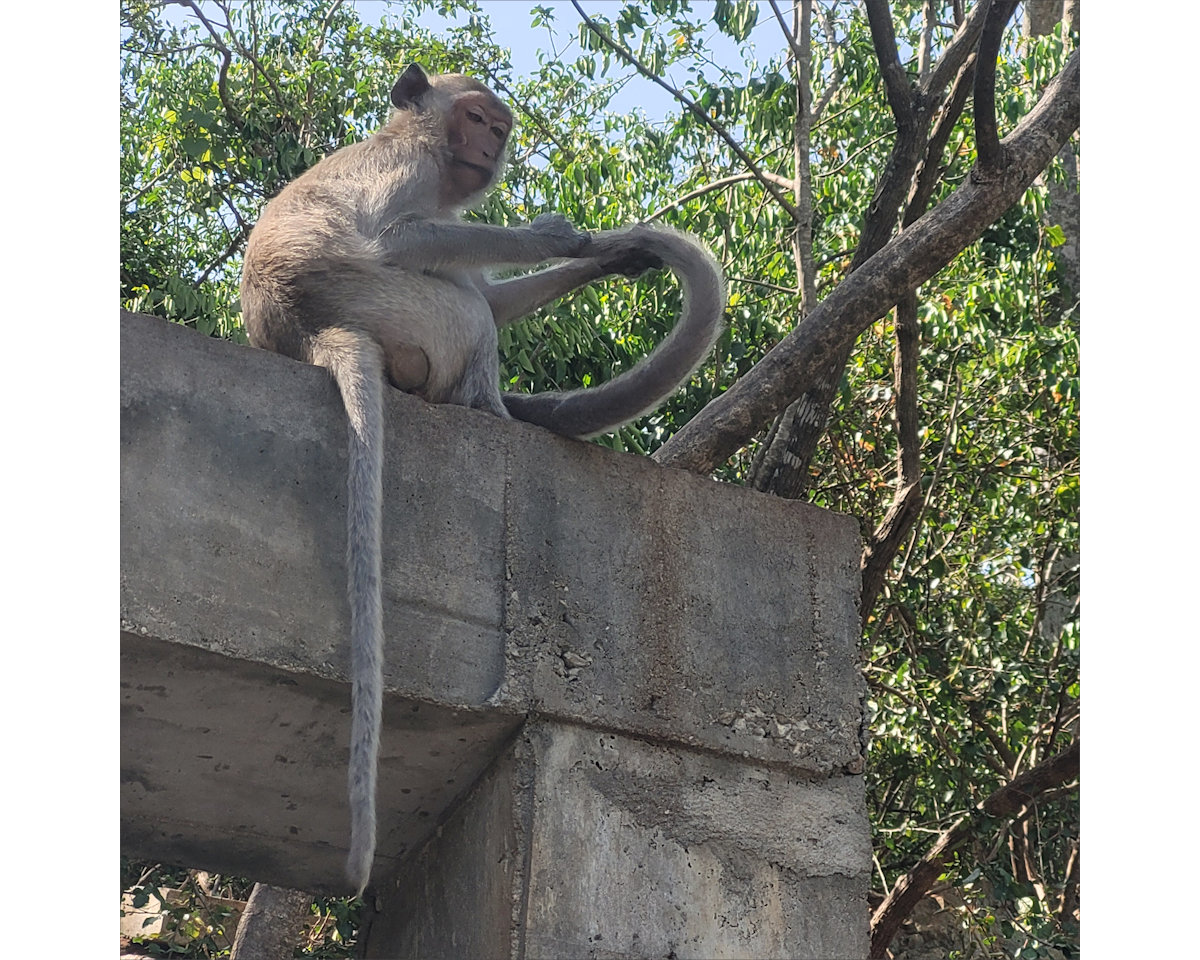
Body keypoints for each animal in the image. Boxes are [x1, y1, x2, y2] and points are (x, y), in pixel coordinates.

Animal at [239, 63, 725, 896]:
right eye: (473, 118)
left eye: (498, 126)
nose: (490, 144)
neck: (415, 141)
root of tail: (306, 332)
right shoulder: (413, 174)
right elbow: (401, 239)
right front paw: (552, 235)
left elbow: (496, 292)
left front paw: (608, 258)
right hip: (395, 309)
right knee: (458, 305)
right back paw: (493, 413)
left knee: (473, 301)